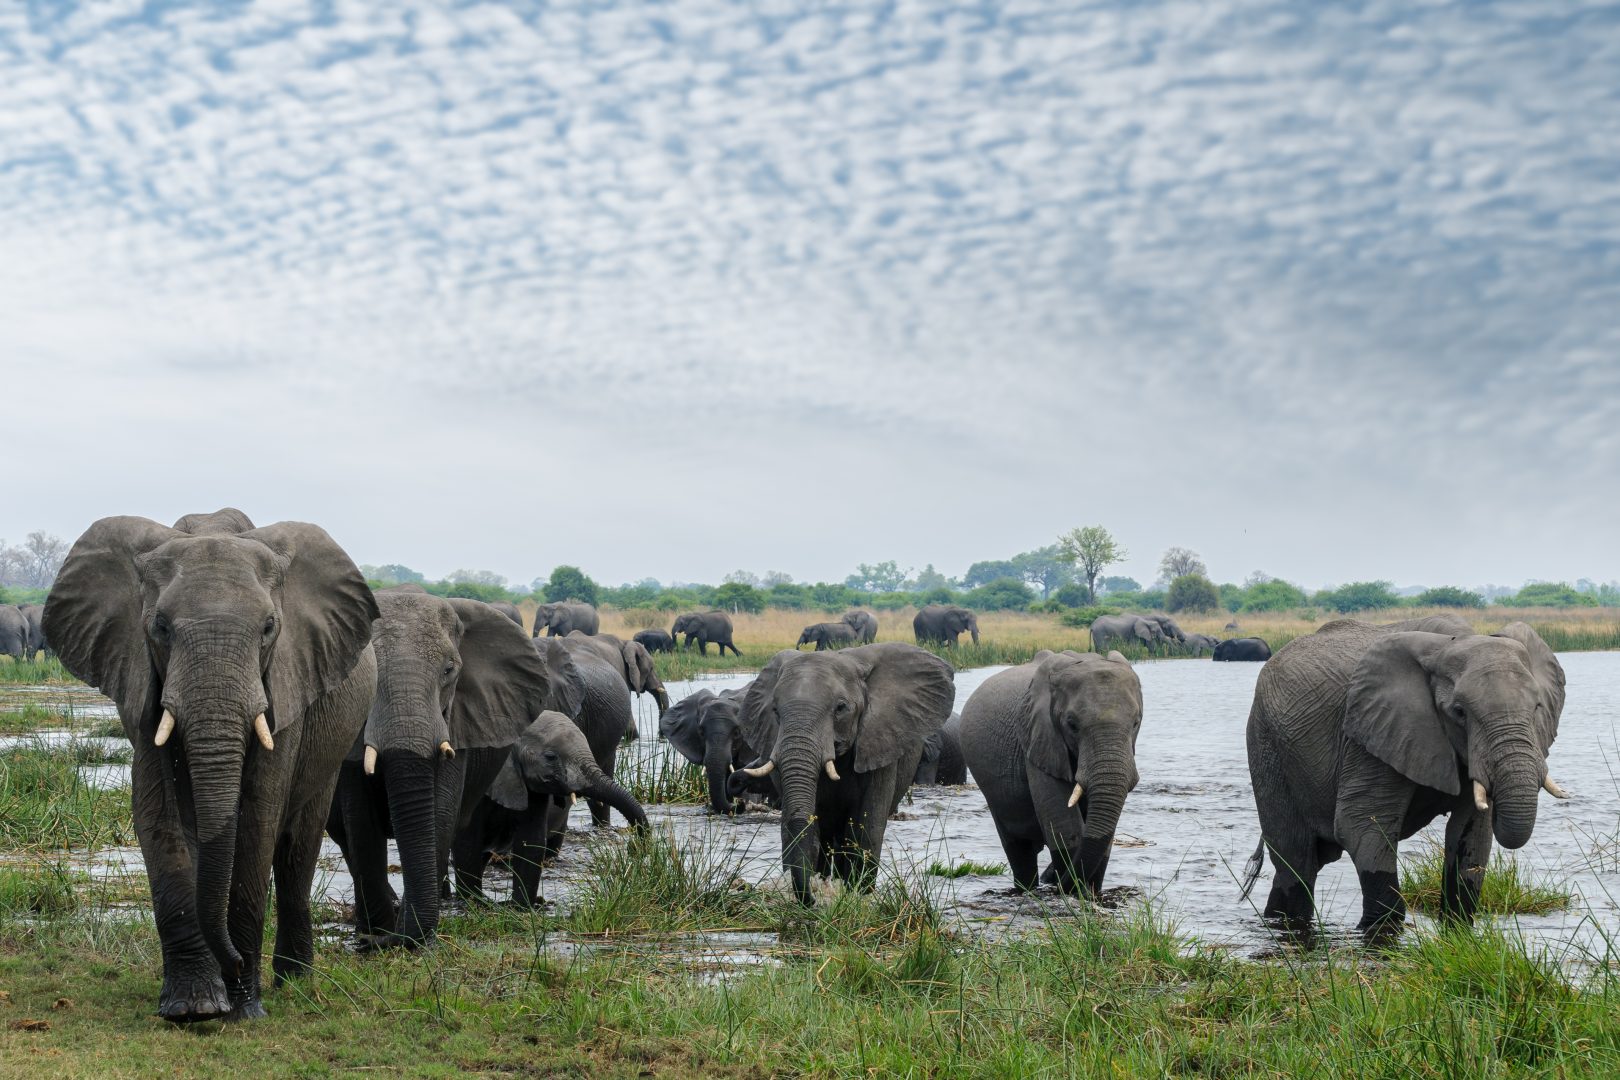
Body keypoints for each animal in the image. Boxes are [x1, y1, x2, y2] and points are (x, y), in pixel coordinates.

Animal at [43, 508, 379, 1022]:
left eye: (269, 627)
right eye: (160, 627)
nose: (236, 964)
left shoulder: (285, 684)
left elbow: (258, 819)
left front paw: (242, 1009)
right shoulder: (141, 680)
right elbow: (158, 814)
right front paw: (193, 1008)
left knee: (297, 845)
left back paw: (295, 980)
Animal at [325, 590, 580, 950]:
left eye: (449, 670)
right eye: (368, 672)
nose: (386, 939)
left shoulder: (458, 720)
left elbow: (440, 812)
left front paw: (404, 937)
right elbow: (361, 823)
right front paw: (375, 935)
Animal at [726, 642, 954, 902]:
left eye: (841, 708)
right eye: (775, 710)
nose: (812, 899)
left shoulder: (879, 742)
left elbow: (866, 829)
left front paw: (857, 896)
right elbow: (806, 828)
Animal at [960, 650, 1142, 895]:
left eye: (1136, 722)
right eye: (1071, 724)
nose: (1058, 885)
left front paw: (1089, 895)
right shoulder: (1039, 741)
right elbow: (1063, 824)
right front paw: (1072, 893)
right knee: (1019, 850)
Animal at [1240, 616, 1567, 941]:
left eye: (1537, 708)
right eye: (1459, 712)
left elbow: (1471, 831)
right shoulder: (1371, 732)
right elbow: (1360, 824)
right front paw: (1382, 929)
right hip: (1266, 745)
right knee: (1296, 861)